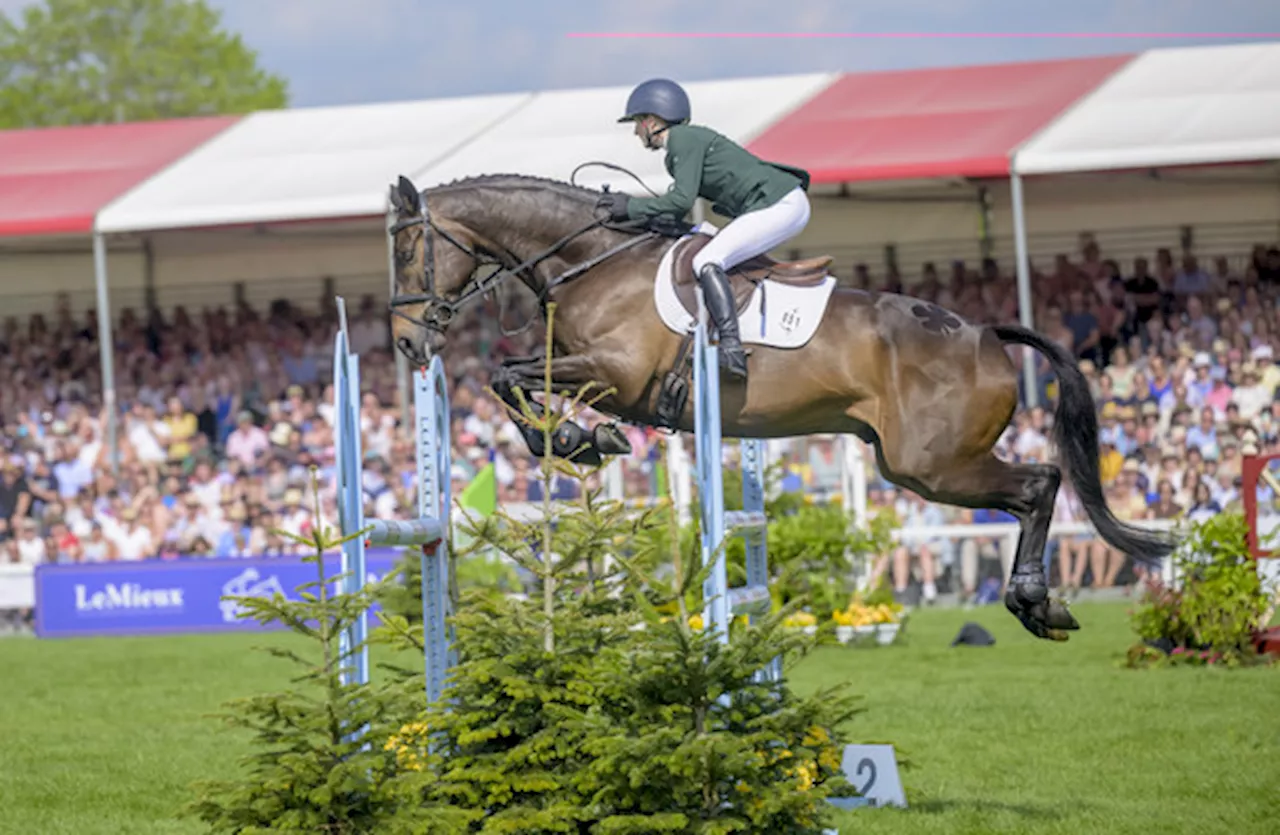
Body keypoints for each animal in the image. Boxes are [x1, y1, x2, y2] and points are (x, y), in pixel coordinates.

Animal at [381, 167, 1177, 640]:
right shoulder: (589, 371)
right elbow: (511, 380)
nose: (406, 343)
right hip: (919, 466)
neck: (593, 261)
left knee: (1040, 483)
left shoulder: (616, 373)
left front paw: (580, 439)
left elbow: (505, 376)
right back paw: (1036, 602)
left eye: (407, 250)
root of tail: (984, 331)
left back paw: (1035, 600)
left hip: (932, 465)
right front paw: (579, 440)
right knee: (1032, 490)